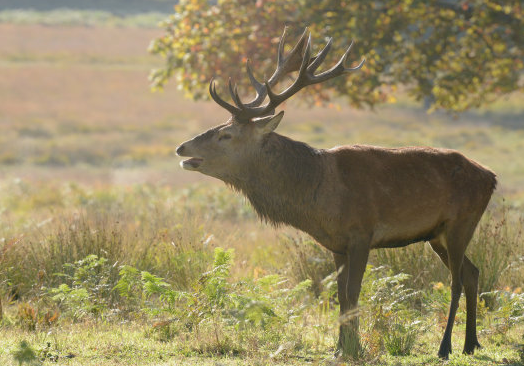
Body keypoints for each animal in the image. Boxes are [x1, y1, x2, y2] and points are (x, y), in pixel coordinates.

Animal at [175, 27, 496, 358]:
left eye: (226, 135)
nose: (182, 148)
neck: (319, 198)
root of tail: (490, 176)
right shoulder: (336, 243)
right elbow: (340, 295)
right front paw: (340, 348)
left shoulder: (362, 233)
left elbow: (353, 292)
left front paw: (355, 349)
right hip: (437, 235)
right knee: (472, 272)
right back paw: (471, 343)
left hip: (461, 222)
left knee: (456, 280)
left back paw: (445, 346)